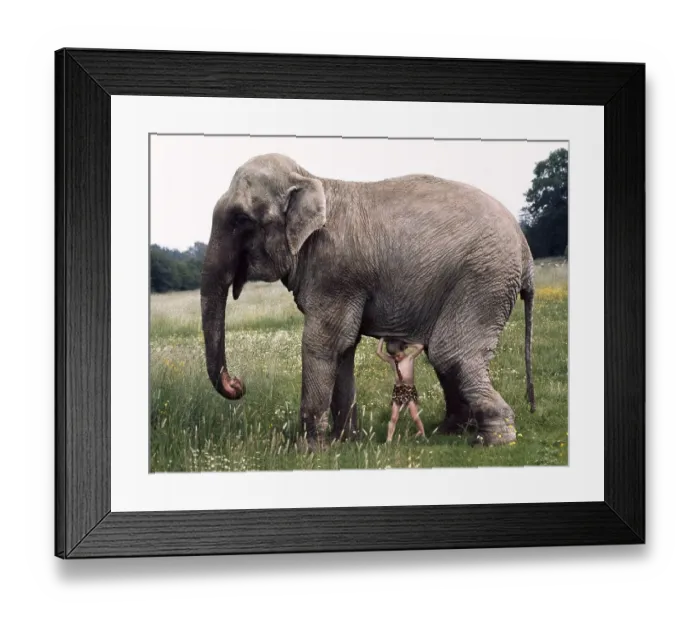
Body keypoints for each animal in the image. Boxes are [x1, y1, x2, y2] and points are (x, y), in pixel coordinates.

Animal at [200, 153, 536, 449]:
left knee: (451, 352)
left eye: (241, 219)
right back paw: (451, 432)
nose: (238, 384)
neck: (311, 179)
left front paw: (310, 450)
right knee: (447, 354)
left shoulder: (335, 272)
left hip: (484, 278)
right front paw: (345, 442)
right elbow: (344, 346)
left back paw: (494, 439)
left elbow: (322, 343)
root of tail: (526, 254)